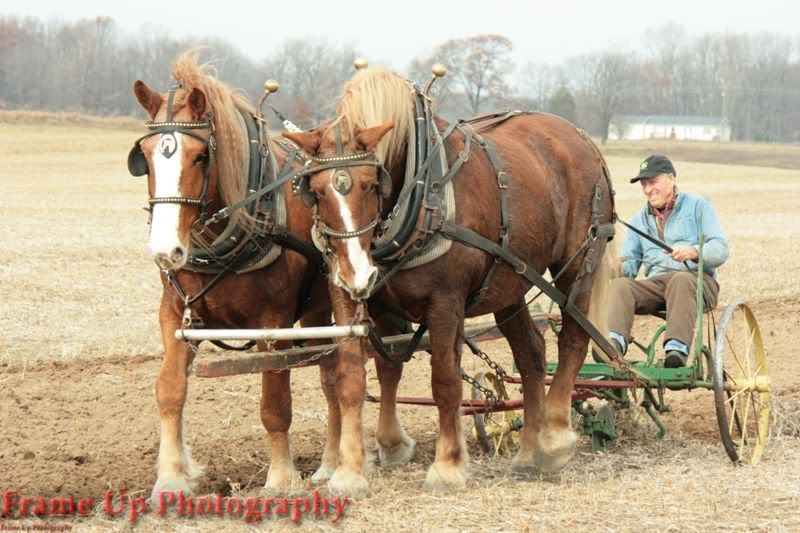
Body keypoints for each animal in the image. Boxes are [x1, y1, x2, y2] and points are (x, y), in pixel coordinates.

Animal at [128, 55, 416, 498]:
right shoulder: (175, 313)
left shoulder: (272, 322)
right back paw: (329, 464)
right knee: (330, 375)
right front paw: (171, 478)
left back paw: (382, 447)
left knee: (385, 366)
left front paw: (281, 478)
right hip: (317, 311)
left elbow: (275, 404)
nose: (165, 250)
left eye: (200, 156)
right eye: (144, 155)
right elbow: (170, 390)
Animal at [288, 68, 620, 492]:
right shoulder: (350, 297)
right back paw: (527, 452)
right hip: (509, 281)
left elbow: (445, 381)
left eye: (371, 183)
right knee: (531, 353)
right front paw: (351, 470)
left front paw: (447, 465)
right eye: (314, 192)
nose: (358, 273)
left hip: (578, 265)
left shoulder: (444, 301)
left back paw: (553, 438)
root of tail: (581, 138)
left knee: (573, 339)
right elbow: (355, 377)